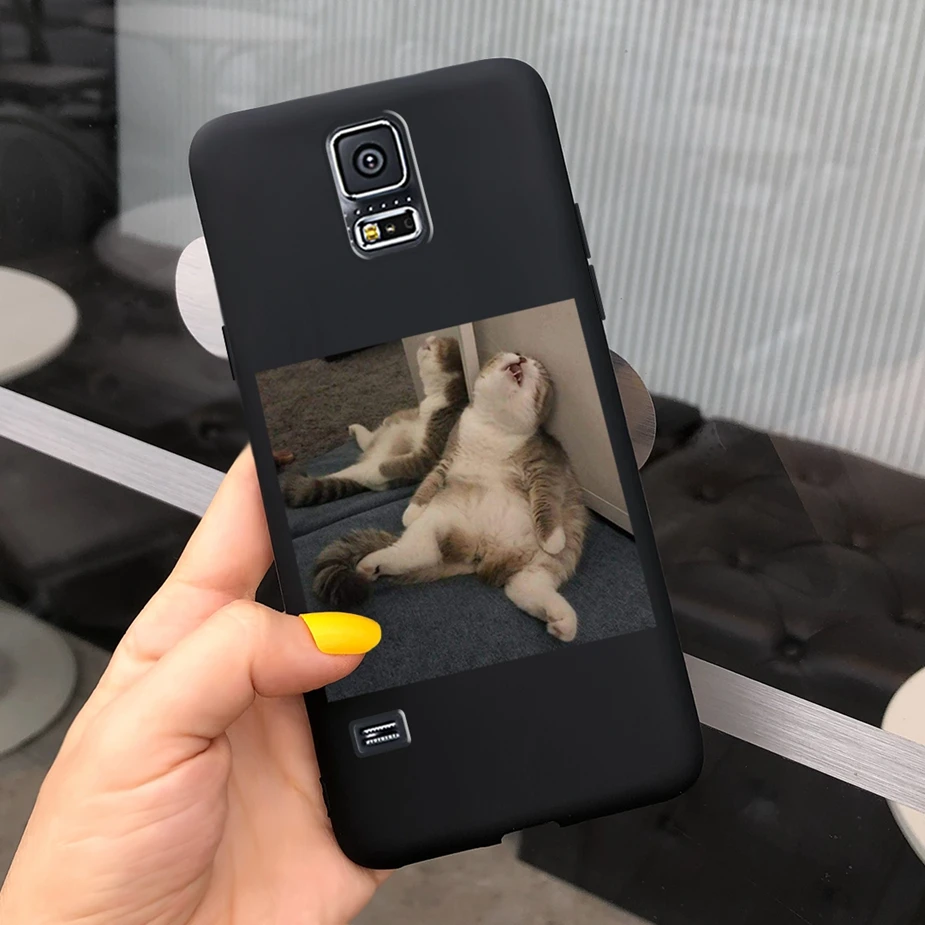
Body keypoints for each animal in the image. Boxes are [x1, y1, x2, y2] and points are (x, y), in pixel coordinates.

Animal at [282, 335, 467, 506]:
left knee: (356, 471)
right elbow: (407, 413)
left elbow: (392, 466)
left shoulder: (428, 454)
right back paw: (357, 430)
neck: (440, 395)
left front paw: (373, 474)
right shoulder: (416, 411)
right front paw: (388, 419)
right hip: (382, 438)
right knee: (368, 442)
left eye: (435, 344)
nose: (428, 338)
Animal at [313, 351, 588, 641]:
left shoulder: (544, 467)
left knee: (524, 584)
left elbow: (546, 503)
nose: (522, 358)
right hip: (438, 518)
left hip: (560, 551)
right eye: (510, 353)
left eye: (539, 369)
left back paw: (561, 620)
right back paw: (372, 564)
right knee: (417, 553)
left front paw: (552, 537)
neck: (494, 429)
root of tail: (483, 550)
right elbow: (429, 481)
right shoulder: (448, 456)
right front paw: (412, 511)